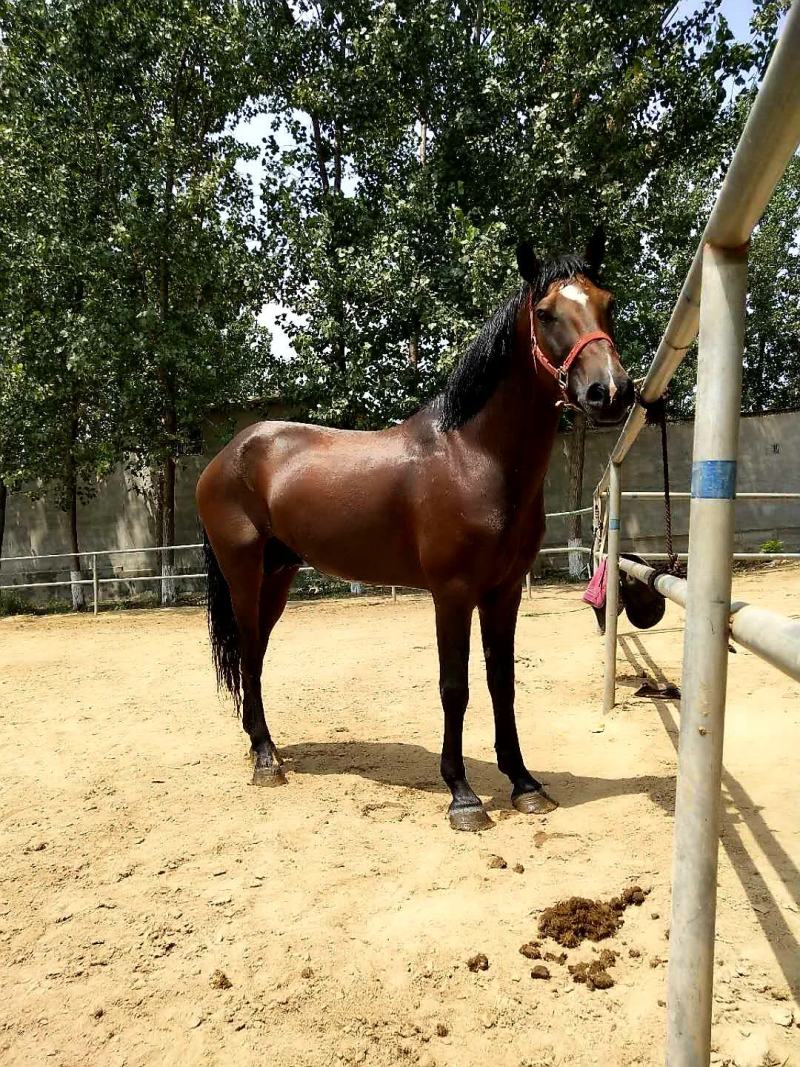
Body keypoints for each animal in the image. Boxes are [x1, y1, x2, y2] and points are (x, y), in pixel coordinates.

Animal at [196, 230, 635, 831]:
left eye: (607, 302)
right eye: (545, 313)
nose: (609, 392)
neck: (473, 457)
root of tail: (226, 456)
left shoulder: (503, 593)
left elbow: (502, 682)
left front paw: (524, 783)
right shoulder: (451, 594)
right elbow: (455, 687)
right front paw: (463, 795)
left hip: (279, 575)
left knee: (256, 652)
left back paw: (263, 746)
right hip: (244, 572)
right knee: (246, 650)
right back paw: (266, 761)